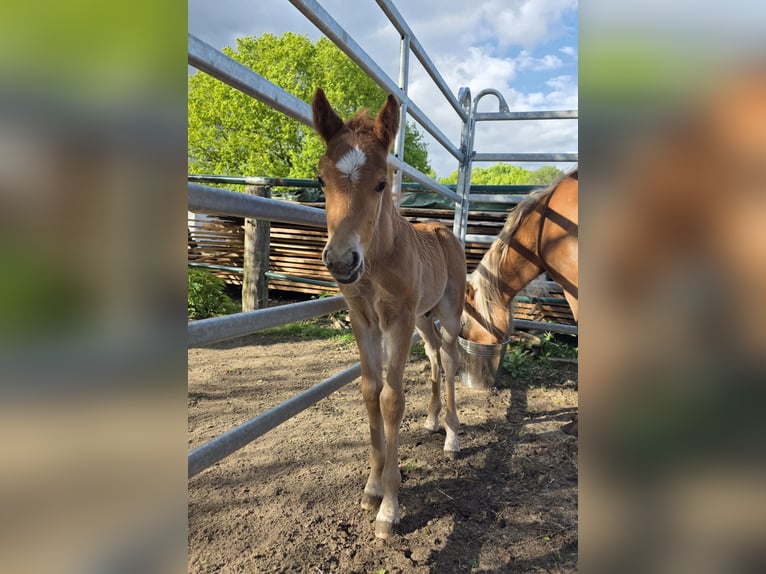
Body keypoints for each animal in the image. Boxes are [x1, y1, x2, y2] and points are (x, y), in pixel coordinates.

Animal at [312, 88, 466, 539]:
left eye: (381, 183)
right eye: (321, 180)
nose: (341, 261)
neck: (378, 261)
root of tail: (442, 230)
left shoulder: (396, 321)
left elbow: (392, 399)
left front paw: (389, 508)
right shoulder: (363, 320)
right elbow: (369, 391)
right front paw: (372, 487)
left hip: (448, 311)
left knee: (450, 357)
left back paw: (452, 436)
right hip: (423, 317)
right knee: (433, 356)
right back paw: (432, 420)